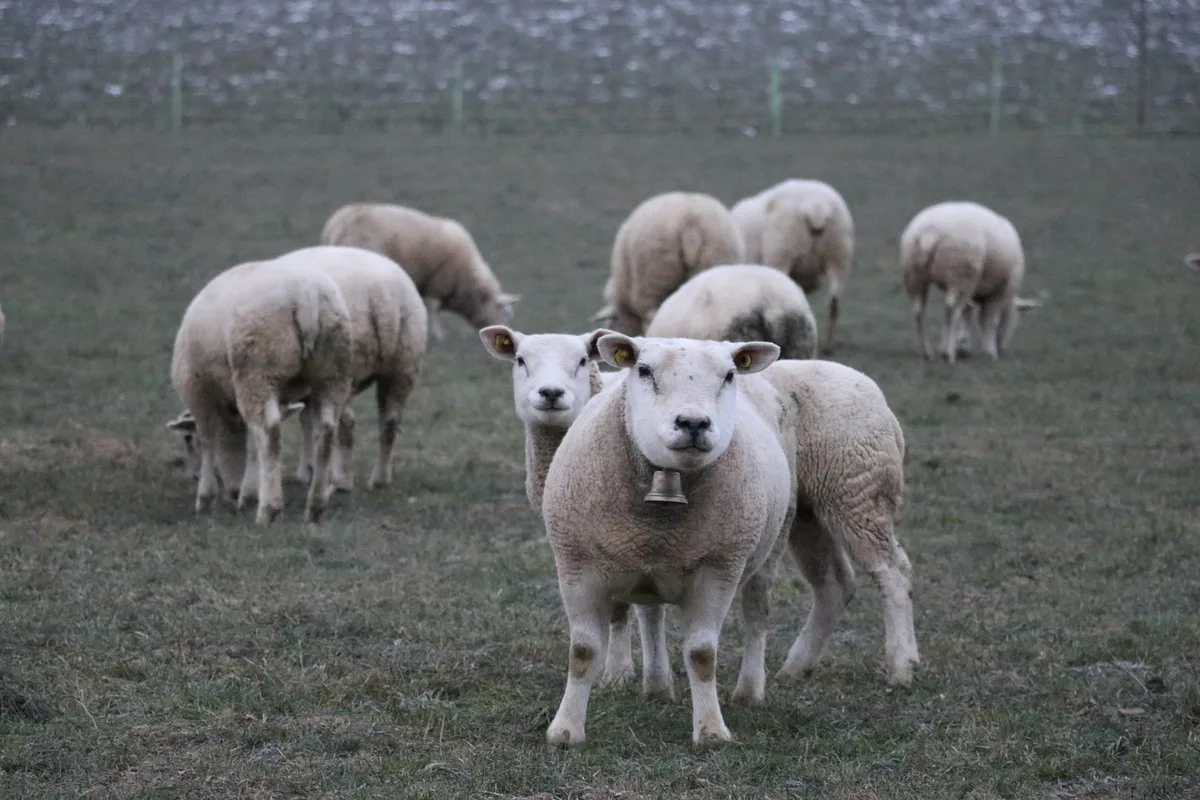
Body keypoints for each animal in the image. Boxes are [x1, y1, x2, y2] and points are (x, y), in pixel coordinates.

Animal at [170, 249, 354, 525]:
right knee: (326, 430)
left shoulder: (196, 388)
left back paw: (269, 509)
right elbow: (253, 445)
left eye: (187, 440)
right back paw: (315, 506)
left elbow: (209, 440)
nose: (233, 491)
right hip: (333, 372)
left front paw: (206, 498)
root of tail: (306, 294)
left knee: (269, 431)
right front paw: (248, 493)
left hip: (257, 369)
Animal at [539, 335, 795, 746]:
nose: (693, 423)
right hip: (644, 567)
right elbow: (583, 651)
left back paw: (749, 691)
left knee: (757, 615)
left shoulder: (720, 568)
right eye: (643, 370)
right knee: (651, 613)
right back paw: (657, 685)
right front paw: (565, 730)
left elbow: (702, 655)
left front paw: (711, 730)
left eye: (729, 375)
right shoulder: (576, 564)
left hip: (771, 545)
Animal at [900, 201, 1026, 364]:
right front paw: (990, 351)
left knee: (918, 311)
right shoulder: (1000, 291)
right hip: (961, 274)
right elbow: (989, 320)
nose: (1002, 348)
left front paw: (962, 345)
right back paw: (949, 354)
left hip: (914, 274)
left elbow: (968, 316)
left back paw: (927, 352)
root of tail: (929, 232)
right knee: (952, 309)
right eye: (1014, 320)